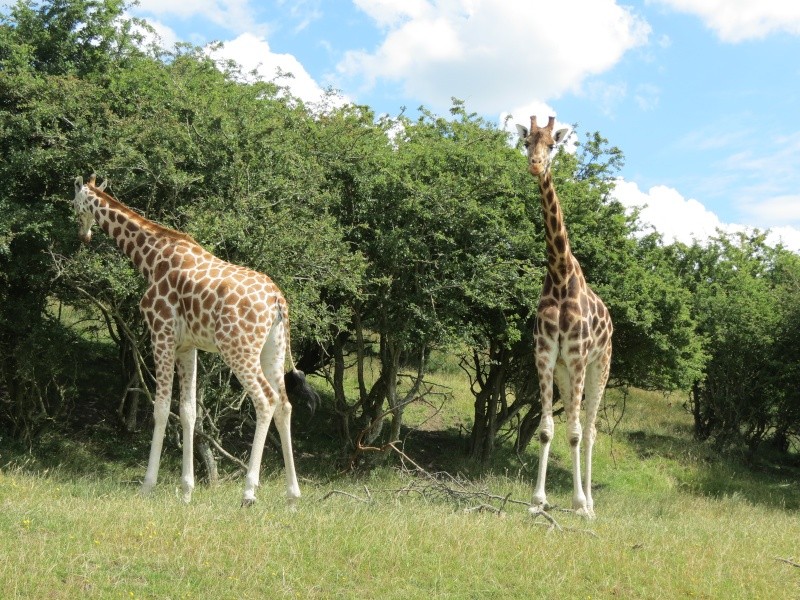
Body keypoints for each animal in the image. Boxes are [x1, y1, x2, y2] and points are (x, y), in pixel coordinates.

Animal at [69, 175, 318, 506]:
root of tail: (278, 301)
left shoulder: (160, 333)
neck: (151, 259)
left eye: (74, 204)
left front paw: (148, 485)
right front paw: (187, 490)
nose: (82, 235)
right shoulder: (188, 346)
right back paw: (292, 495)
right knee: (285, 404)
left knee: (265, 399)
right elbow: (188, 410)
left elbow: (161, 407)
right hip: (272, 350)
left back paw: (249, 492)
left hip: (239, 349)